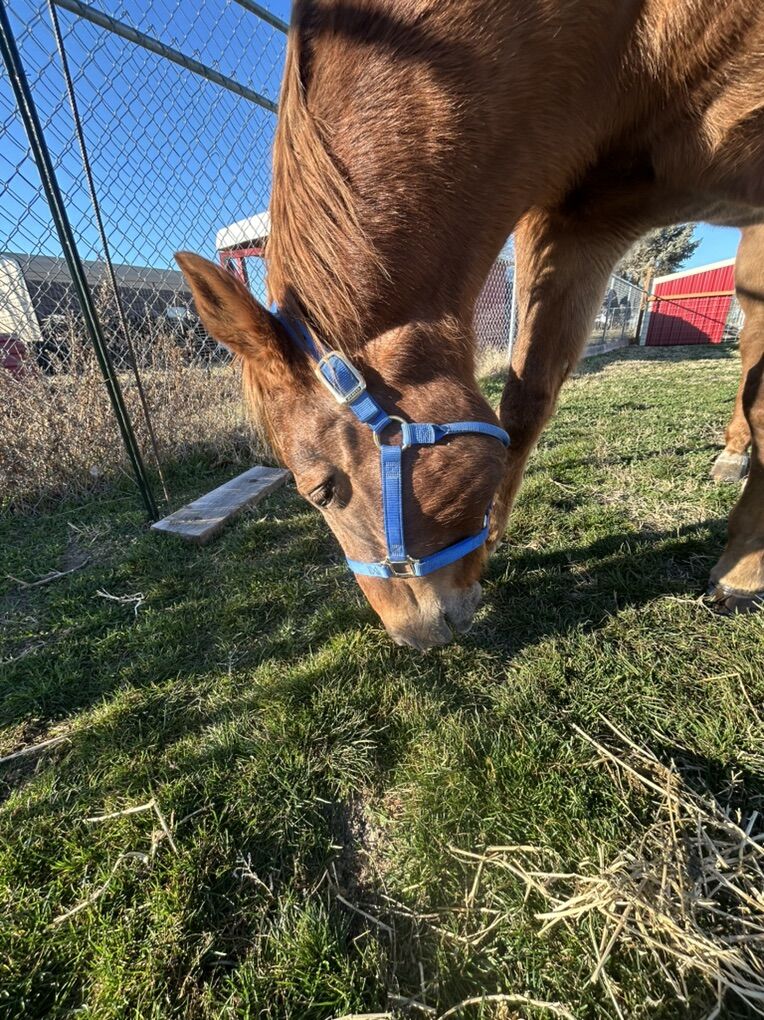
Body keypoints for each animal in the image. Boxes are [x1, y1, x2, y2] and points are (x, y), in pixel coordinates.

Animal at [177, 0, 764, 649]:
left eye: (321, 491)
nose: (409, 636)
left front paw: (742, 572)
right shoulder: (575, 220)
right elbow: (526, 401)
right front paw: (490, 540)